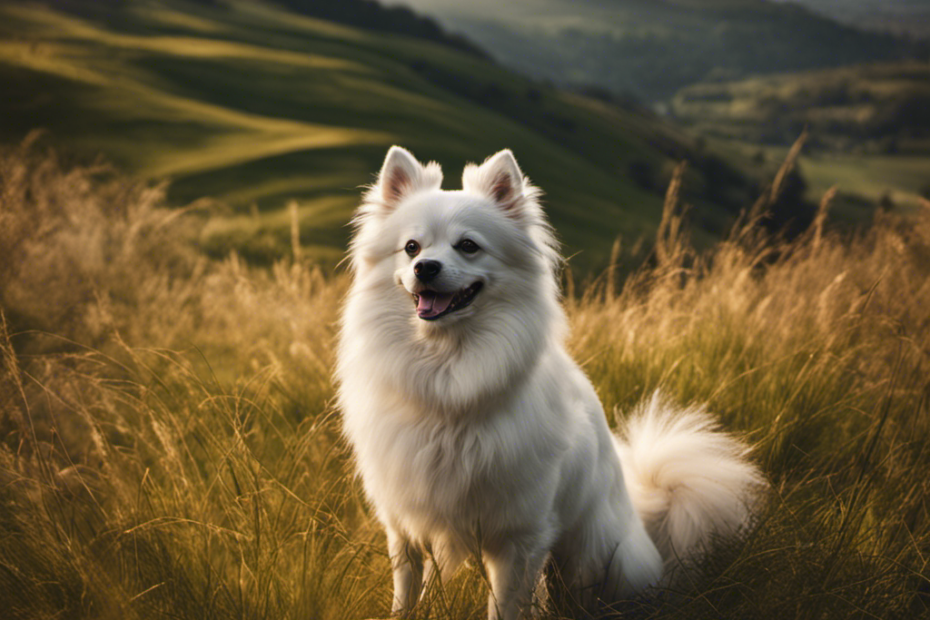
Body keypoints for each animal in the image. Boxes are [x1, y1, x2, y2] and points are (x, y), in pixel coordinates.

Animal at [334, 147, 760, 620]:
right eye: (411, 247)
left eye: (468, 246)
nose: (424, 267)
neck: (448, 371)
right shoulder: (404, 526)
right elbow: (406, 593)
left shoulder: (520, 539)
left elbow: (505, 606)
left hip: (592, 558)